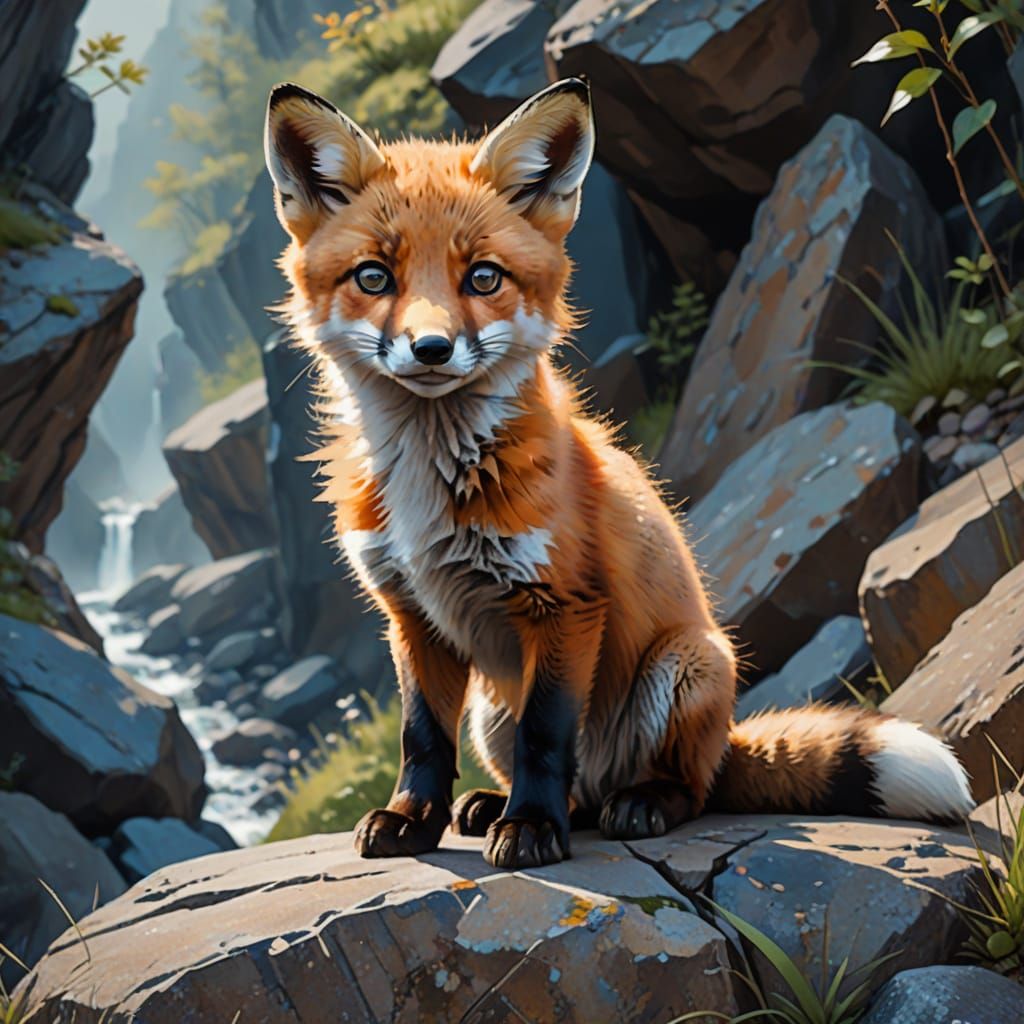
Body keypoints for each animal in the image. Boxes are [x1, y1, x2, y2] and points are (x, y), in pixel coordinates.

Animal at [262, 77, 975, 869]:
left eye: (483, 277)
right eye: (373, 277)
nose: (431, 348)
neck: (432, 484)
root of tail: (724, 740)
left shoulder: (565, 605)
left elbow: (546, 737)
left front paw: (531, 829)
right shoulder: (411, 615)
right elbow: (421, 738)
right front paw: (414, 819)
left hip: (683, 667)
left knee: (681, 789)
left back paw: (636, 803)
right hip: (490, 709)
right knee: (577, 791)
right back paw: (494, 807)